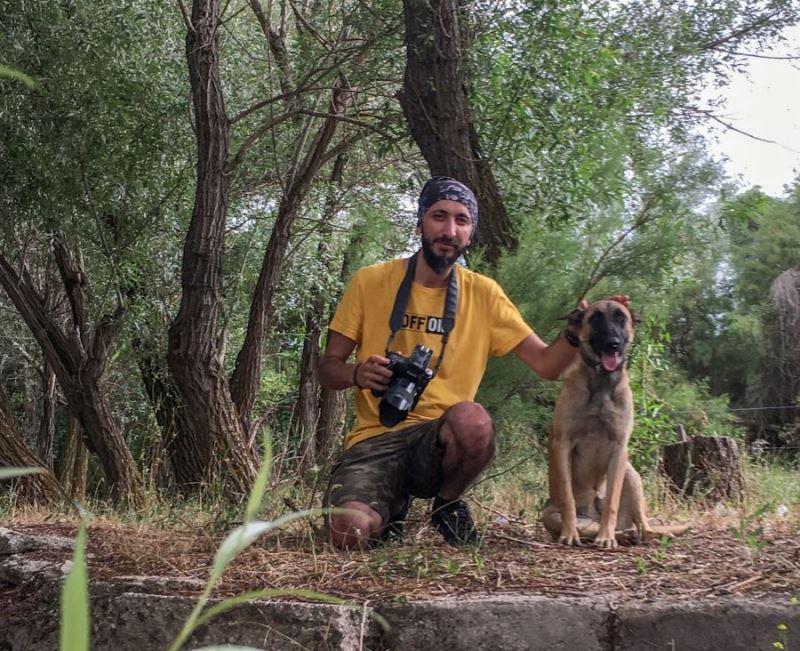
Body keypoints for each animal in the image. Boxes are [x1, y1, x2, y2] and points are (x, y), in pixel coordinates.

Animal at [544, 300, 688, 552]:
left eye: (621, 318)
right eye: (595, 319)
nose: (613, 343)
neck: (602, 383)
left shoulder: (619, 449)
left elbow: (611, 499)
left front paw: (606, 537)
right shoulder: (562, 444)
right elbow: (567, 497)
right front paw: (569, 534)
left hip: (631, 475)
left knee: (643, 526)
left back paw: (638, 535)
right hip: (549, 515)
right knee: (593, 529)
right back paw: (620, 535)